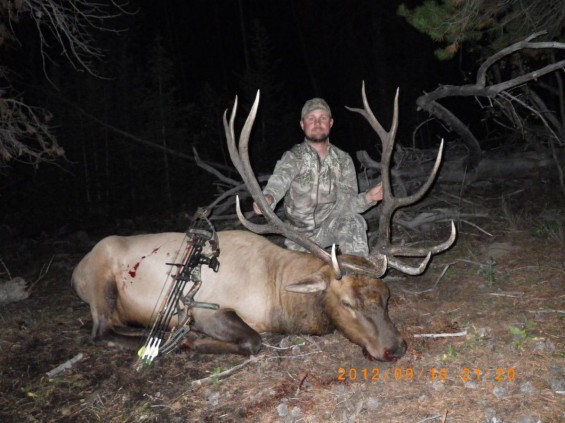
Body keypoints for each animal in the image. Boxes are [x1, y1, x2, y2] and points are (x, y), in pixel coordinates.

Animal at [72, 83, 456, 362]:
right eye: (347, 303)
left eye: (386, 296)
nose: (395, 349)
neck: (276, 297)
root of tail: (76, 270)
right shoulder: (203, 307)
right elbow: (253, 340)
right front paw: (189, 342)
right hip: (101, 285)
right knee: (99, 332)